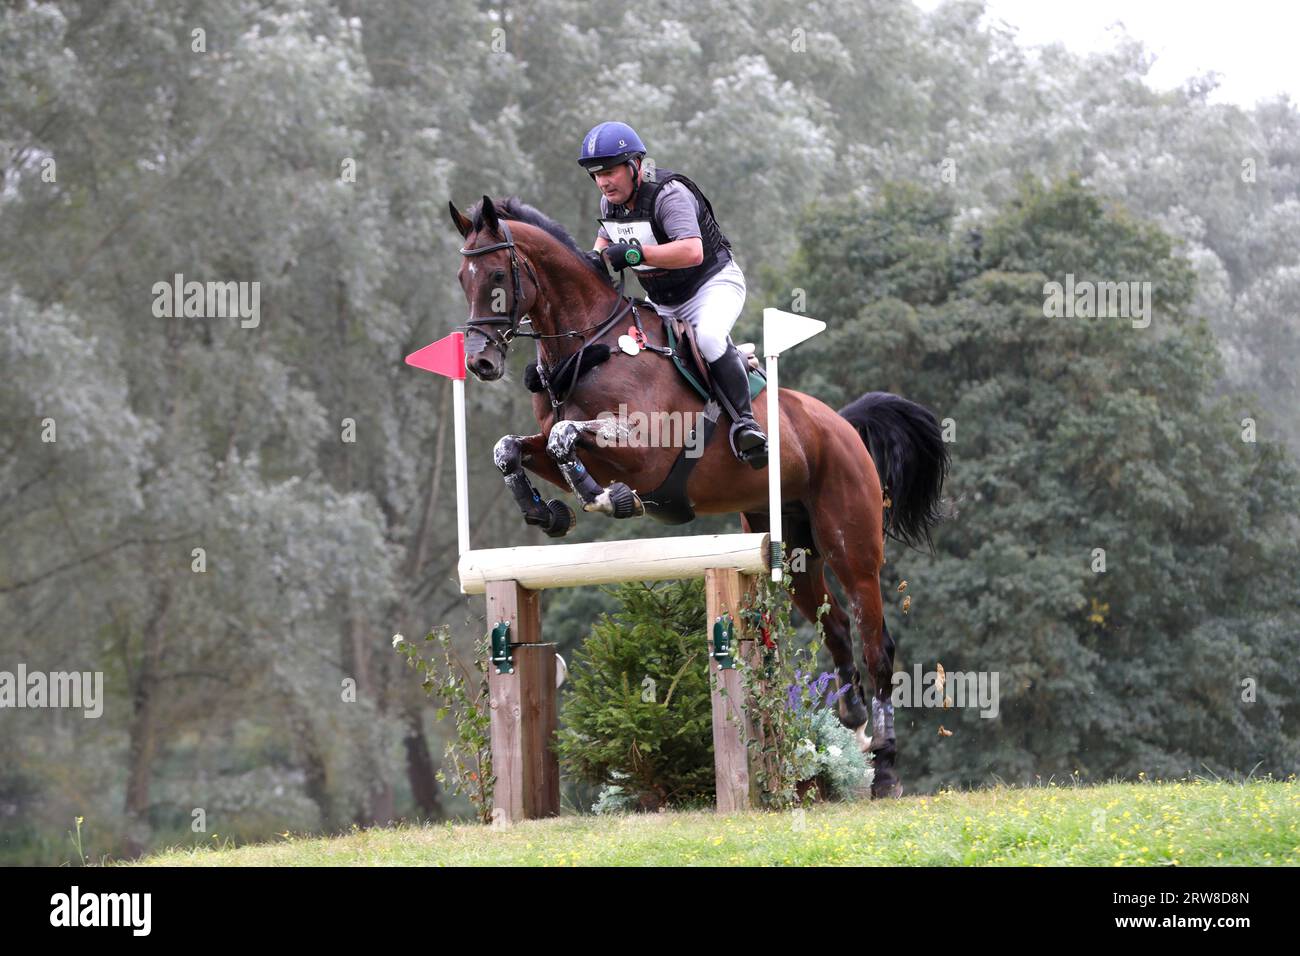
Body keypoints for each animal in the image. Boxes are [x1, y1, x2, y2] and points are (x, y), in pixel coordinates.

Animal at [447, 195, 946, 801]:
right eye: (462, 278)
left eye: (497, 277)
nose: (480, 362)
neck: (590, 348)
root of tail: (841, 424)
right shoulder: (555, 444)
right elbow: (511, 448)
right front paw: (547, 511)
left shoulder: (645, 450)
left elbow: (570, 440)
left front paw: (610, 498)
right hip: (791, 548)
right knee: (836, 631)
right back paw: (850, 731)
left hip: (851, 544)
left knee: (877, 645)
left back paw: (886, 767)